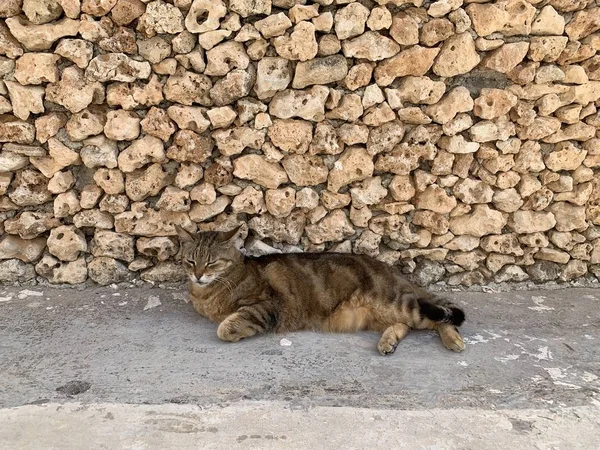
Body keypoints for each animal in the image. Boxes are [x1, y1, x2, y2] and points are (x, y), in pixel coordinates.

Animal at [176, 225, 466, 356]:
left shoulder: (267, 305)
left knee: (442, 317)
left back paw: (453, 339)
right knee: (407, 325)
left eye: (211, 262)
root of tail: (392, 270)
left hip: (398, 303)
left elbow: (225, 328)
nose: (198, 275)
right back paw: (388, 342)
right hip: (381, 314)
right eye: (190, 261)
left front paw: (233, 330)